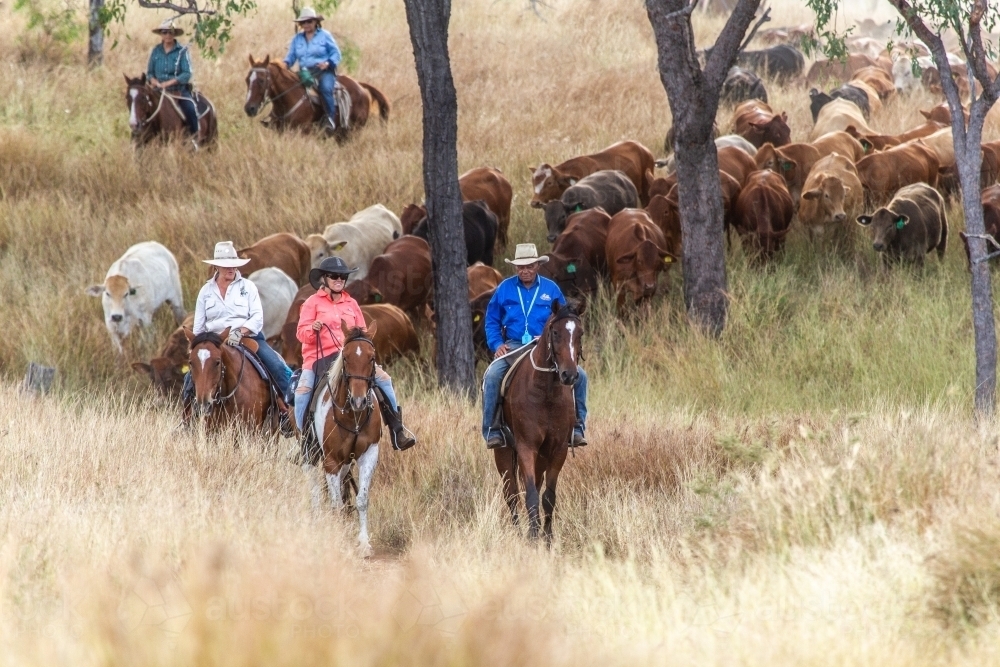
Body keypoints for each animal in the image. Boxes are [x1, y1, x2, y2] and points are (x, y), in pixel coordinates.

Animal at [308, 320, 382, 556]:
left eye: (372, 357)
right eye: (346, 357)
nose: (358, 401)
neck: (353, 417)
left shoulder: (368, 455)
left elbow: (362, 499)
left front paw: (364, 543)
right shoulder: (330, 460)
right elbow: (336, 503)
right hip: (310, 454)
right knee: (315, 489)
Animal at [494, 300, 584, 544]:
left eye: (580, 333)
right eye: (555, 332)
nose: (569, 375)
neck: (546, 393)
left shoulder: (558, 449)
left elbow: (548, 496)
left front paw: (547, 538)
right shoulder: (526, 447)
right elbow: (531, 495)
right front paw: (533, 537)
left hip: (542, 458)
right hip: (503, 452)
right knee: (511, 493)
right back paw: (518, 532)